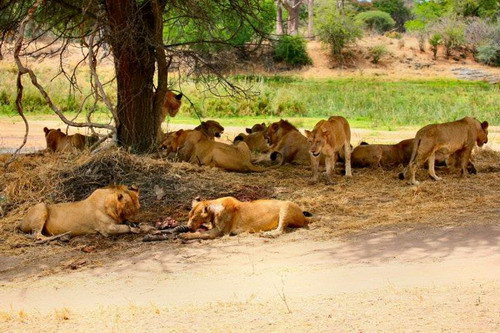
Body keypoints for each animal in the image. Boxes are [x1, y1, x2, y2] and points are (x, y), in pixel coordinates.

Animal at [180, 195, 312, 239]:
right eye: (188, 217)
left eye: (194, 219)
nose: (188, 226)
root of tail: (304, 216)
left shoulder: (219, 232)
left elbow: (200, 233)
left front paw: (185, 235)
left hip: (286, 206)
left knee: (281, 230)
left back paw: (268, 235)